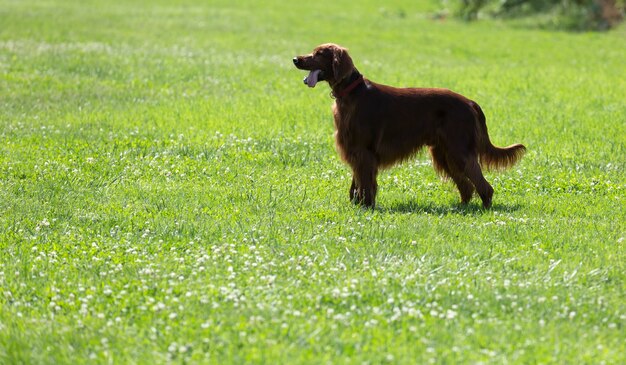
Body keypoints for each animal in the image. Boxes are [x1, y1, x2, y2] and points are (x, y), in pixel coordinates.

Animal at [292, 42, 520, 208]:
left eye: (319, 54)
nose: (295, 59)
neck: (352, 93)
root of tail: (469, 102)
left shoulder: (363, 151)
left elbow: (365, 183)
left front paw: (366, 207)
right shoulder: (355, 151)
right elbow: (356, 183)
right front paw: (357, 205)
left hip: (459, 150)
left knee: (483, 185)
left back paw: (484, 209)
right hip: (444, 153)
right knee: (466, 186)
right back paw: (461, 208)